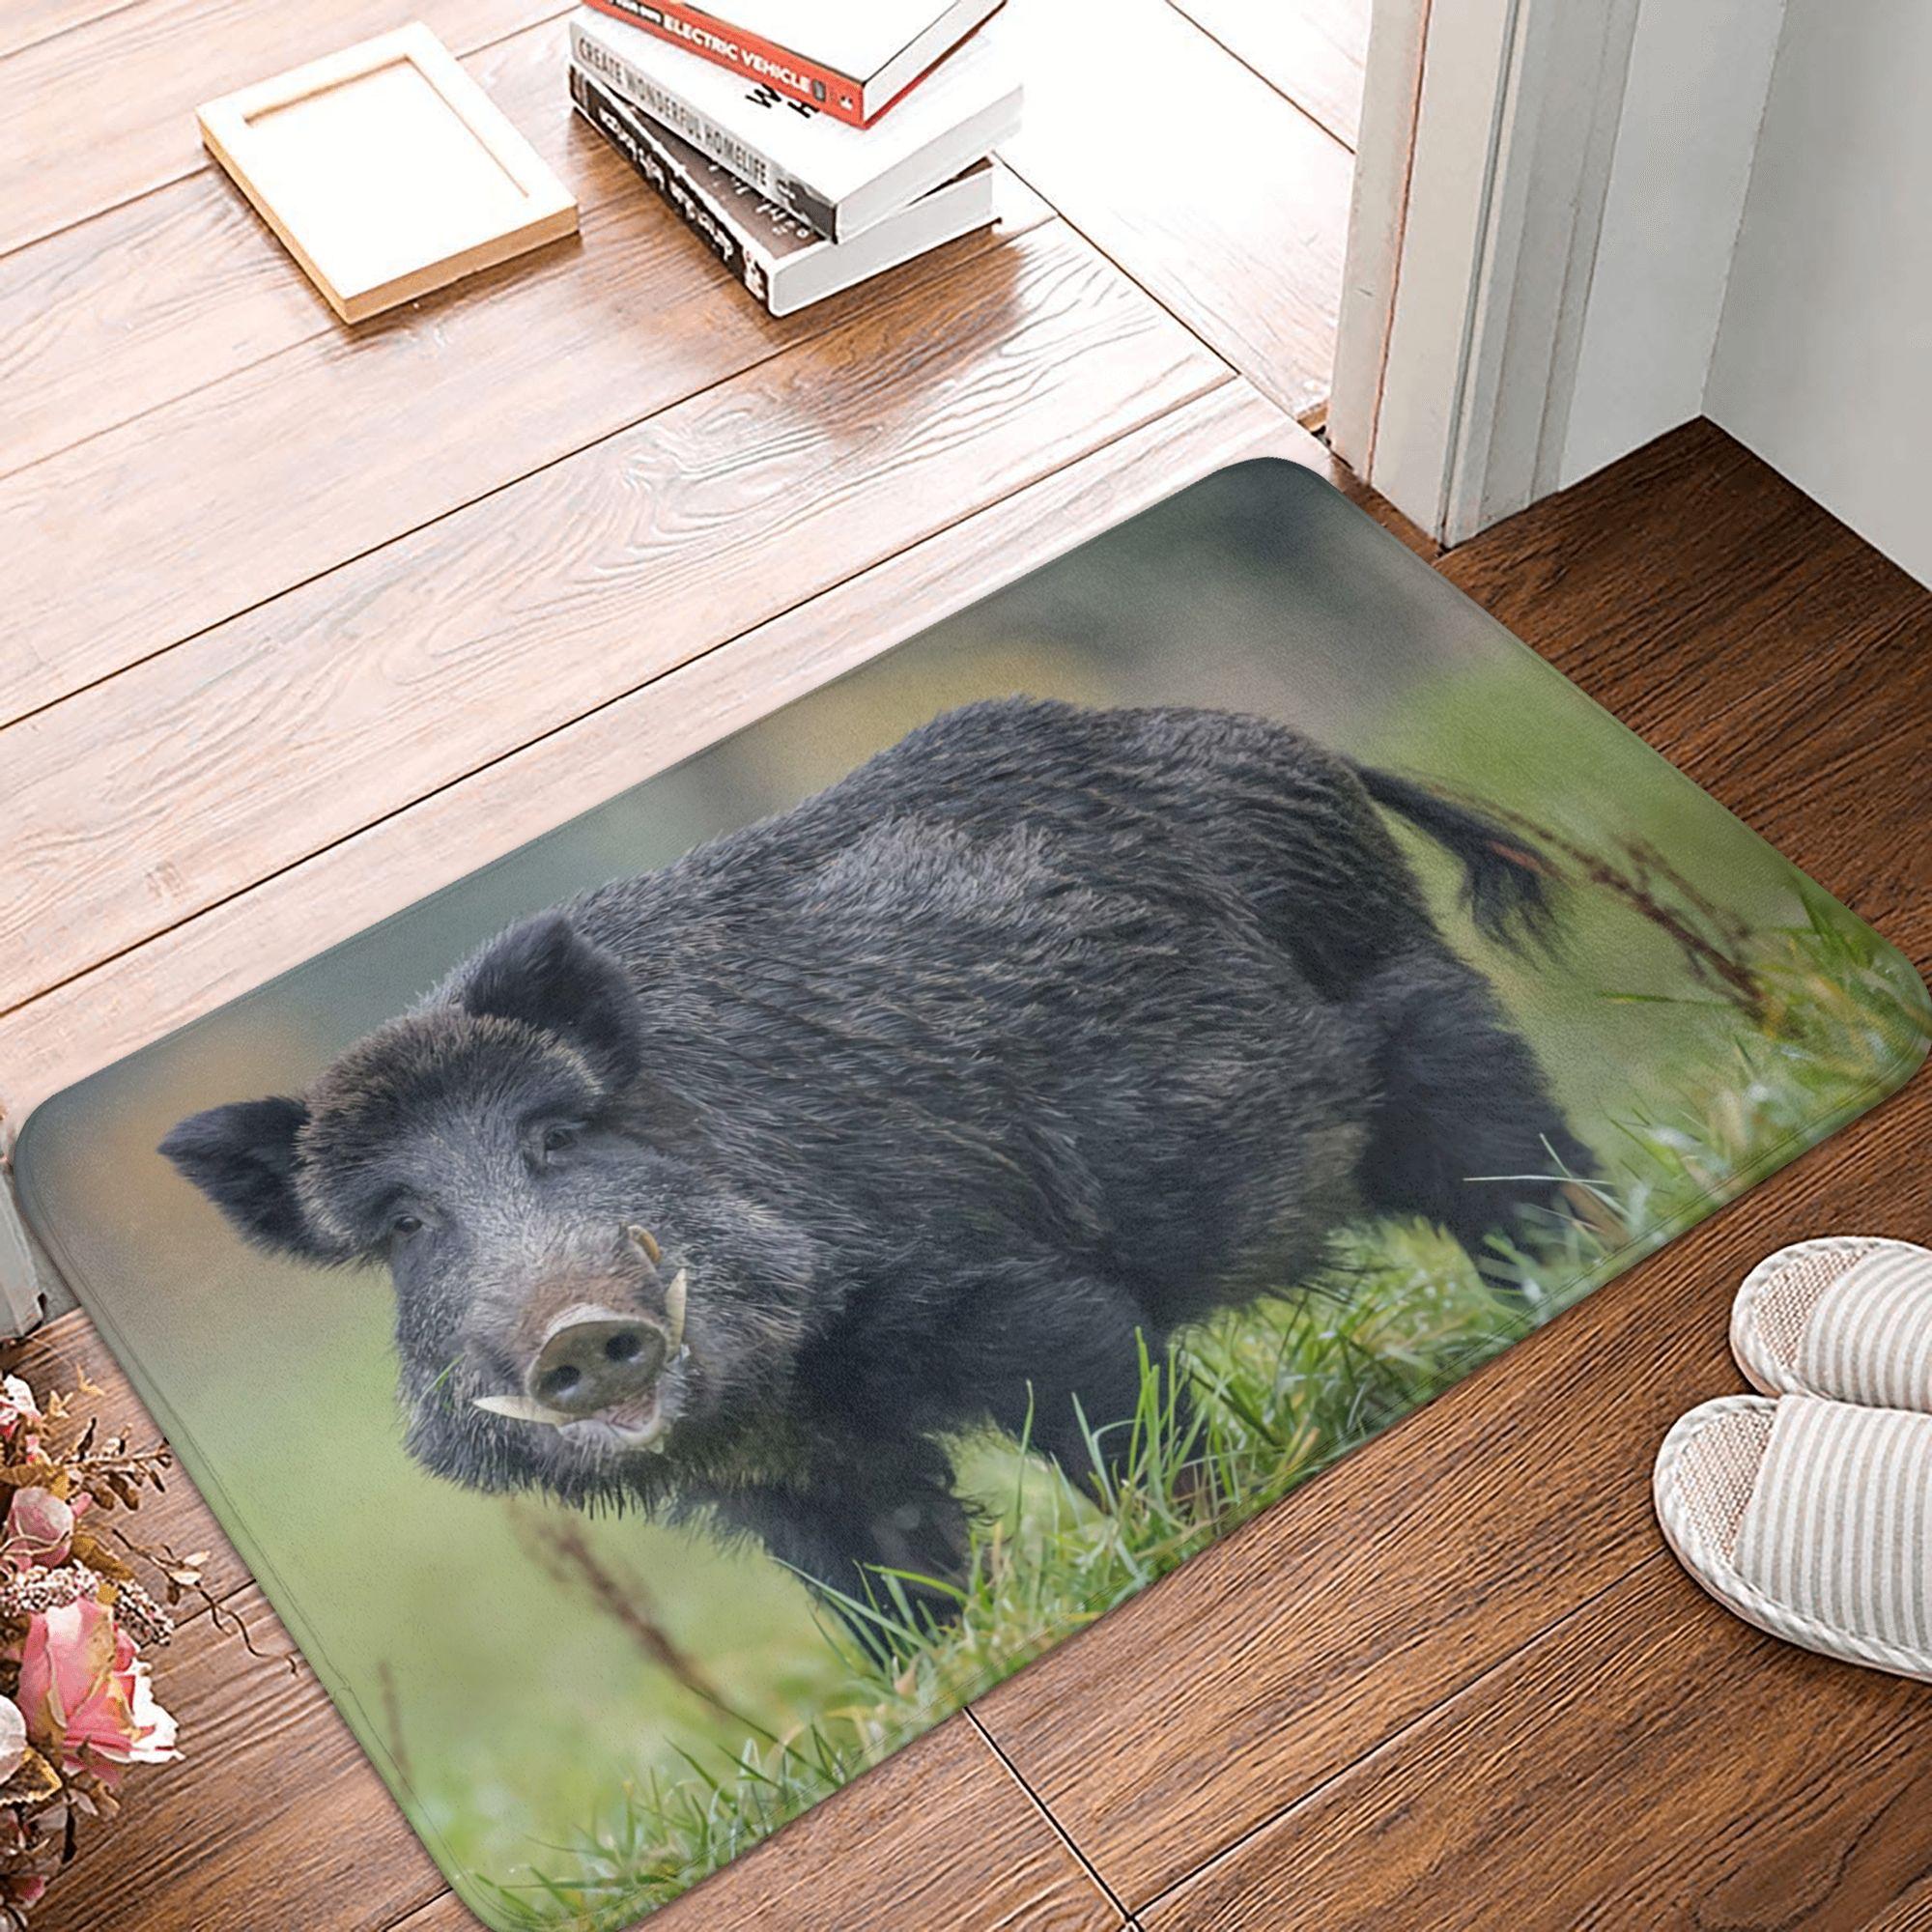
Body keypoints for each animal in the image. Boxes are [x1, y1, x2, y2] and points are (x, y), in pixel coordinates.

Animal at [161, 697, 1593, 1622]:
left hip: (1409, 1013)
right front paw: (945, 1670)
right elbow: (886, 1588)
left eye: (556, 1137)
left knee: (1504, 1148)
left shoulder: (1005, 1288)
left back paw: (1582, 1258)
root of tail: (1289, 746)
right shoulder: (786, 1485)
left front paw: (1193, 1530)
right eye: (405, 1224)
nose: (575, 1327)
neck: (794, 1385)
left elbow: (1121, 1428)